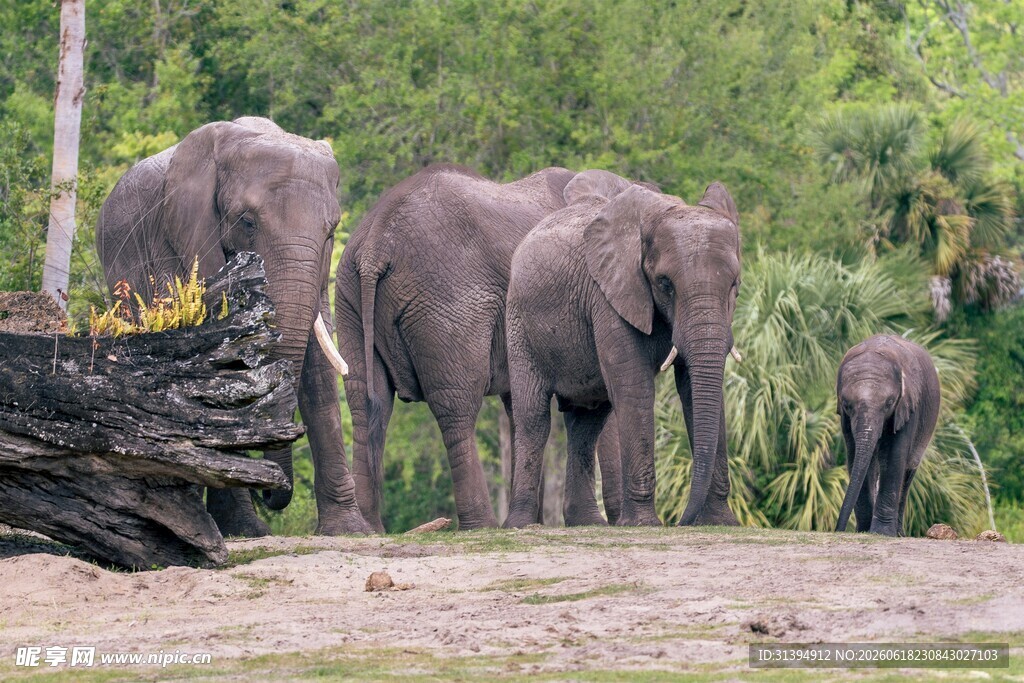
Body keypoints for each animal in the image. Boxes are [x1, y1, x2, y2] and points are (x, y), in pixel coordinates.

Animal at [96, 116, 372, 537]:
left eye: (331, 232)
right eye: (247, 222)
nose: (271, 494)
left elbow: (318, 367)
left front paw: (350, 531)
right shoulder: (176, 240)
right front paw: (246, 529)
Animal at [336, 165, 639, 531]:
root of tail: (375, 244)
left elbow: (519, 406)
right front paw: (606, 521)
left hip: (348, 295)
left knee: (365, 401)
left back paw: (368, 528)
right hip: (447, 302)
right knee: (456, 405)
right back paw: (481, 524)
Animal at [502, 181, 743, 528]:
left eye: (735, 284)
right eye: (665, 284)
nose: (680, 521)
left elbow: (693, 389)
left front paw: (721, 523)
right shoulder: (608, 295)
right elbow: (634, 387)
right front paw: (644, 524)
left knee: (587, 421)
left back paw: (587, 523)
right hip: (519, 324)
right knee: (533, 417)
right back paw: (521, 525)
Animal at [835, 334, 940, 536]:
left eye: (889, 403)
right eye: (846, 405)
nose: (838, 530)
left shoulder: (909, 405)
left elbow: (893, 457)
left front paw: (881, 533)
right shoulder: (846, 420)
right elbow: (855, 457)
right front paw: (864, 531)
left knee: (908, 470)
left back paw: (898, 534)